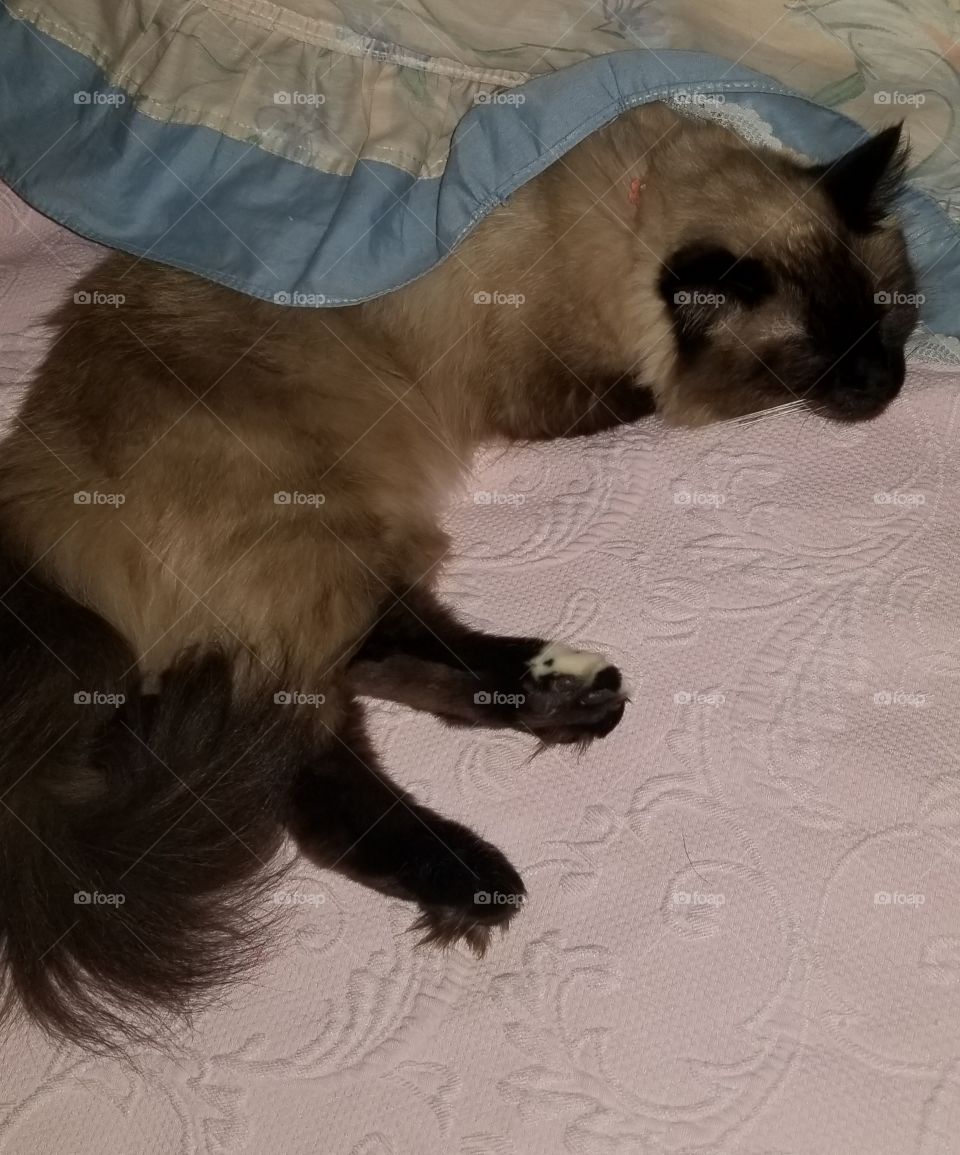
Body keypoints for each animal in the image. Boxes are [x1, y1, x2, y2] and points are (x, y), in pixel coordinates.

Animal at [0, 103, 919, 1053]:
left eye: (888, 319)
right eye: (811, 353)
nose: (884, 385)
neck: (626, 207)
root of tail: (35, 541)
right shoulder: (555, 395)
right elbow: (645, 398)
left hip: (335, 576)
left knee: (365, 693)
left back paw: (570, 710)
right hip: (319, 548)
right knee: (324, 761)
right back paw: (482, 872)